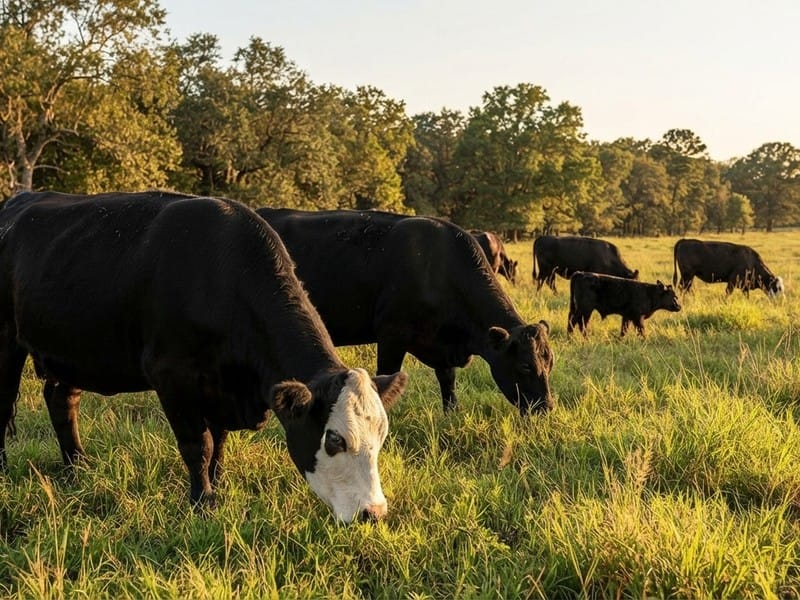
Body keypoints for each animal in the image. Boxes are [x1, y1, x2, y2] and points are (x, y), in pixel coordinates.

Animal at [0, 191, 408, 523]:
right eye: (334, 440)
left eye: (382, 436)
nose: (374, 513)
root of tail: (20, 199)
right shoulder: (172, 377)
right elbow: (198, 444)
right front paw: (202, 500)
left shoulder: (222, 388)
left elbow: (219, 443)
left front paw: (218, 485)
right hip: (6, 340)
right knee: (5, 408)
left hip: (72, 349)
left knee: (61, 401)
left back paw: (77, 467)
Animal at [256, 207, 554, 415]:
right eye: (525, 365)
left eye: (549, 362)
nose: (547, 407)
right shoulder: (391, 335)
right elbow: (386, 376)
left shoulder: (442, 346)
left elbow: (448, 382)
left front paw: (452, 415)